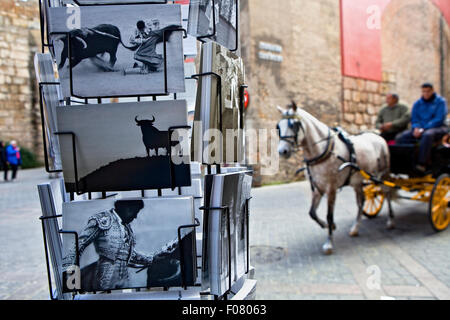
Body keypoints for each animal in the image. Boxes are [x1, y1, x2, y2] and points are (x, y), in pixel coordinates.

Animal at [276, 104, 396, 254]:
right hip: (357, 181)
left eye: (294, 125)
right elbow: (312, 213)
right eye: (278, 126)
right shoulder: (317, 188)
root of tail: (377, 135)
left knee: (387, 193)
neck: (323, 152)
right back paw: (355, 228)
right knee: (361, 202)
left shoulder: (331, 189)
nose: (282, 151)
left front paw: (329, 242)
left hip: (383, 173)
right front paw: (329, 226)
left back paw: (390, 221)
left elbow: (329, 215)